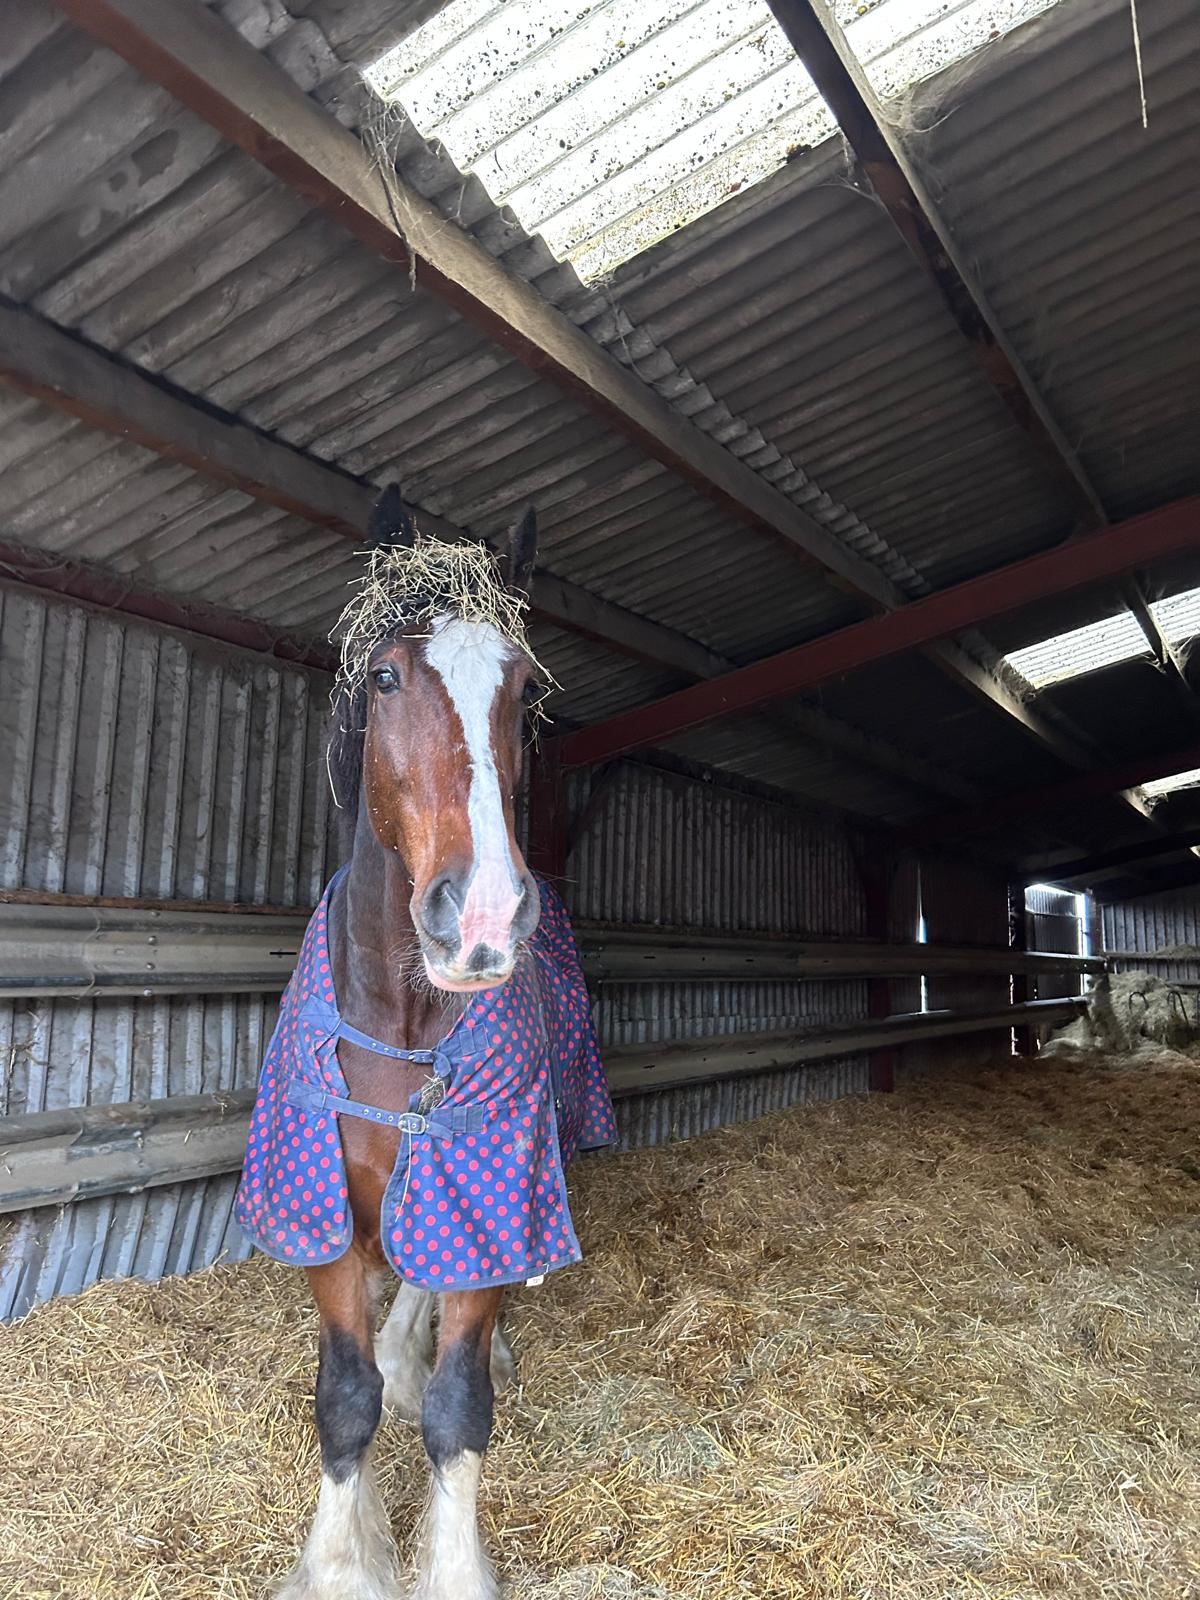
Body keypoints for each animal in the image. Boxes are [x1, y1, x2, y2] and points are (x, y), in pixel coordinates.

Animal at [235, 488, 616, 1599]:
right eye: (388, 675)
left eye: (523, 687)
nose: (482, 917)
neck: (402, 1023)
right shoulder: (320, 1210)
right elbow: (346, 1397)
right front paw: (341, 1564)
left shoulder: (489, 1205)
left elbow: (458, 1408)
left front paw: (445, 1565)